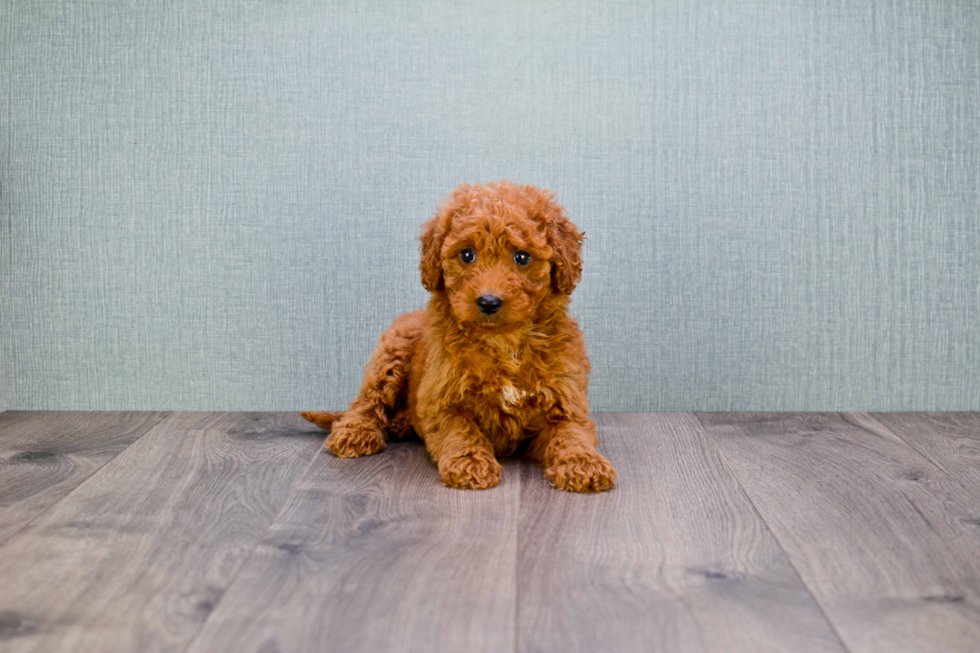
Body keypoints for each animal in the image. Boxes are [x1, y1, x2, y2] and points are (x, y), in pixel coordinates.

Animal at [302, 181, 616, 492]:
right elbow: (460, 430)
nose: (488, 302)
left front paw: (583, 463)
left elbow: (572, 433)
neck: (503, 341)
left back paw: (400, 424)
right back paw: (356, 432)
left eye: (522, 257)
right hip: (393, 350)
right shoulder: (441, 398)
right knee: (366, 401)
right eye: (467, 254)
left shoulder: (565, 400)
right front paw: (471, 463)